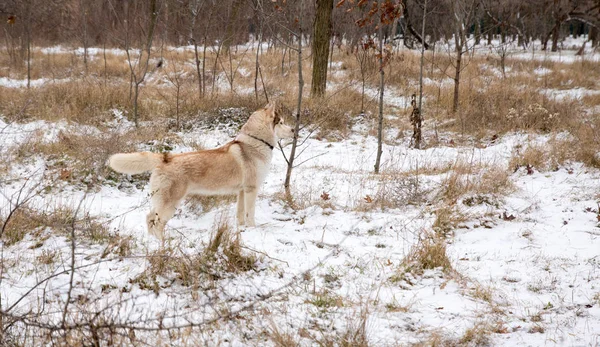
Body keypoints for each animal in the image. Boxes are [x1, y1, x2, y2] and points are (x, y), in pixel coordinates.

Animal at [109, 102, 296, 241]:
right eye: (281, 122)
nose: (294, 130)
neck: (255, 142)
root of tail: (165, 157)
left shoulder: (242, 192)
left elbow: (240, 214)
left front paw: (242, 230)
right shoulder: (251, 190)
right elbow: (250, 215)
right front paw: (252, 230)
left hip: (161, 201)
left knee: (149, 218)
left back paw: (153, 242)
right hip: (170, 204)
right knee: (156, 222)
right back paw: (161, 244)